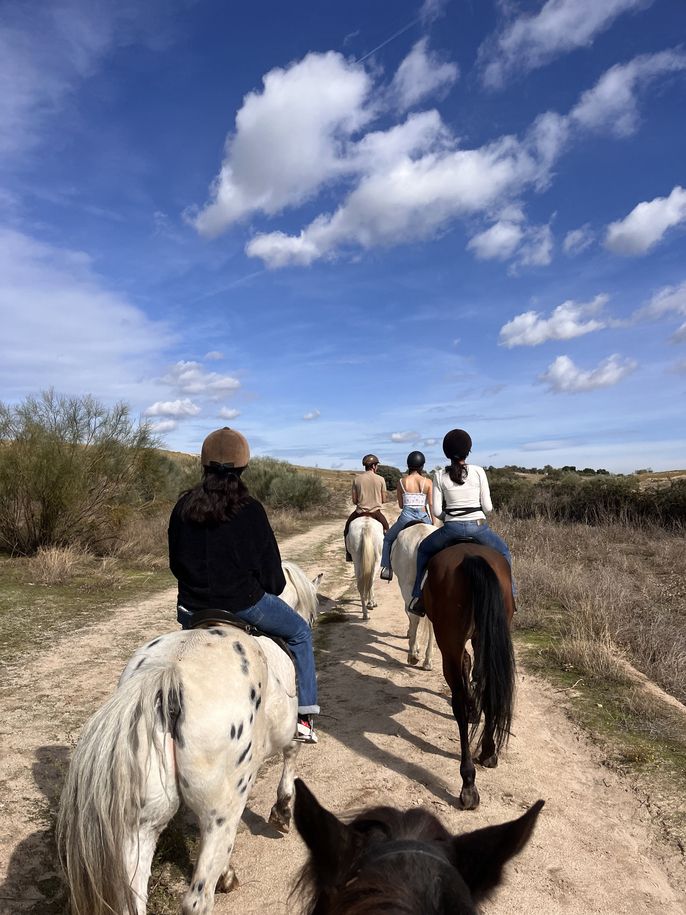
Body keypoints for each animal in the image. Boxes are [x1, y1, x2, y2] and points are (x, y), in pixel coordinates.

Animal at [57, 560, 322, 915]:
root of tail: (168, 674)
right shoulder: (289, 729)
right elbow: (292, 756)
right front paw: (281, 812)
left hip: (140, 827)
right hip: (222, 810)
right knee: (198, 900)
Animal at [424, 544, 516, 808]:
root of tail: (470, 556)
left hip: (449, 643)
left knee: (459, 704)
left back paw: (468, 783)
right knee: (488, 688)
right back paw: (488, 751)